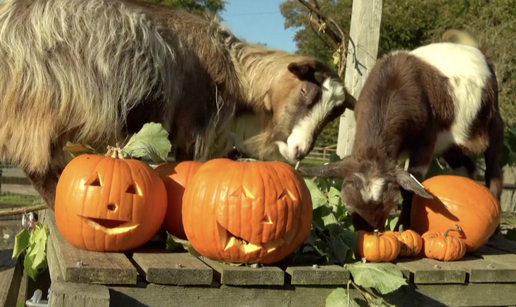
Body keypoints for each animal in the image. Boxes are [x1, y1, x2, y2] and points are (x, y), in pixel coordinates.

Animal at [0, 0, 352, 211]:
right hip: (39, 100)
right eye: (305, 90)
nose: (299, 150)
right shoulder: (192, 123)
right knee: (36, 162)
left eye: (335, 113)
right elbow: (187, 166)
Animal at [298, 31, 504, 232]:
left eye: (390, 203)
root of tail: (481, 52)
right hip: (451, 147)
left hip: (493, 121)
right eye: (347, 205)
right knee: (467, 167)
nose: (371, 231)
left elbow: (412, 185)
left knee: (494, 171)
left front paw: (403, 227)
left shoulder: (425, 141)